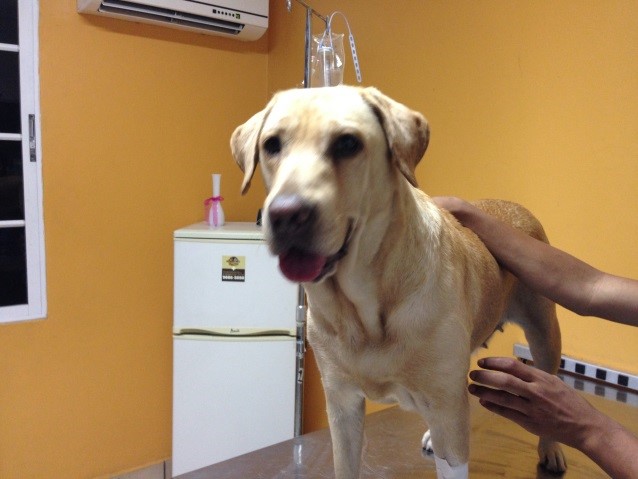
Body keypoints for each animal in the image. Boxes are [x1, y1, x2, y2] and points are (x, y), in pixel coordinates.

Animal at [231, 86, 565, 479]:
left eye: (348, 143)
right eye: (271, 144)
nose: (286, 214)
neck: (363, 312)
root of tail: (515, 207)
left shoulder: (446, 410)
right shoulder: (341, 403)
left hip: (544, 334)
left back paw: (551, 448)